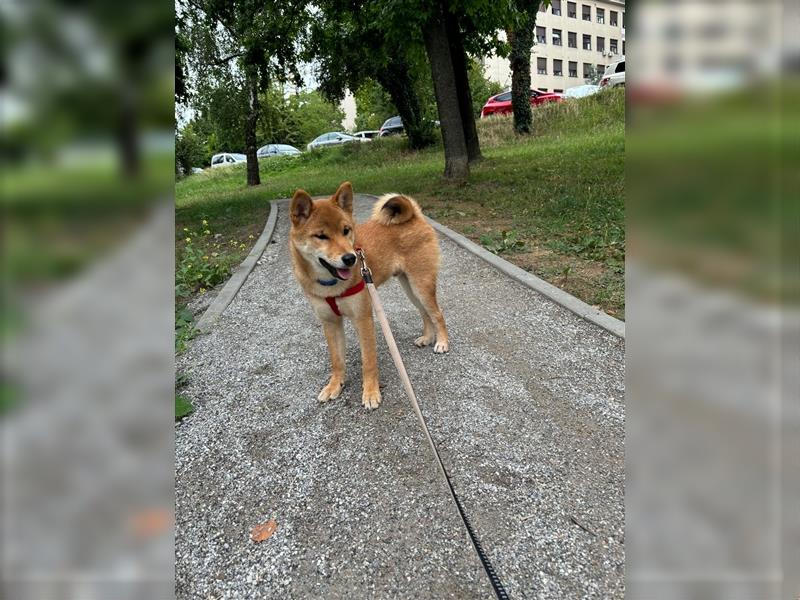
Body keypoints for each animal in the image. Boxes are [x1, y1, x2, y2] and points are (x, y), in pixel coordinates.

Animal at [290, 182, 450, 408]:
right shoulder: (330, 322)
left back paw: (442, 342)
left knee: (437, 314)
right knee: (425, 314)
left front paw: (371, 392)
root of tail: (415, 216)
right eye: (321, 236)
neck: (331, 285)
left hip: (421, 285)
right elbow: (337, 361)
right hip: (410, 289)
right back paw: (427, 338)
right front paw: (334, 386)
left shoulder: (363, 318)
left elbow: (368, 361)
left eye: (346, 230)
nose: (351, 258)